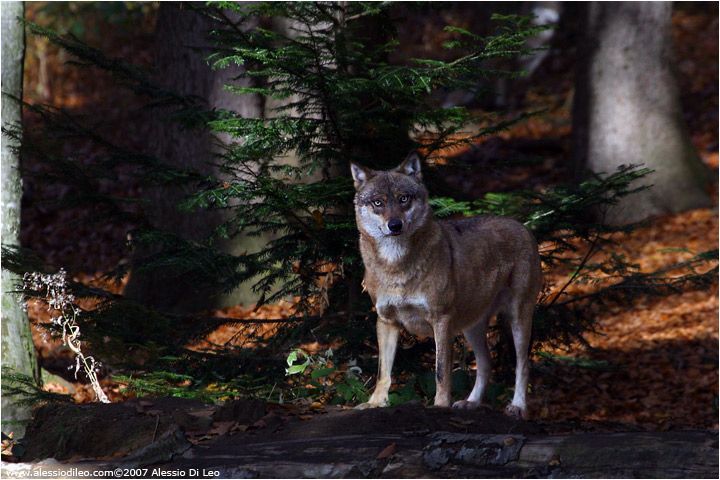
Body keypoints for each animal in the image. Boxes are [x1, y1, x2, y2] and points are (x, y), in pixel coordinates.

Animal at [348, 152, 540, 418]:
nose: (395, 225)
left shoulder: (442, 320)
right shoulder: (386, 321)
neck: (396, 266)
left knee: (523, 365)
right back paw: (471, 402)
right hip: (472, 327)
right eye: (378, 202)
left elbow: (441, 373)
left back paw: (517, 406)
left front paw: (440, 405)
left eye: (403, 199)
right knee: (486, 363)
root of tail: (523, 226)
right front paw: (376, 403)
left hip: (518, 319)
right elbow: (382, 372)